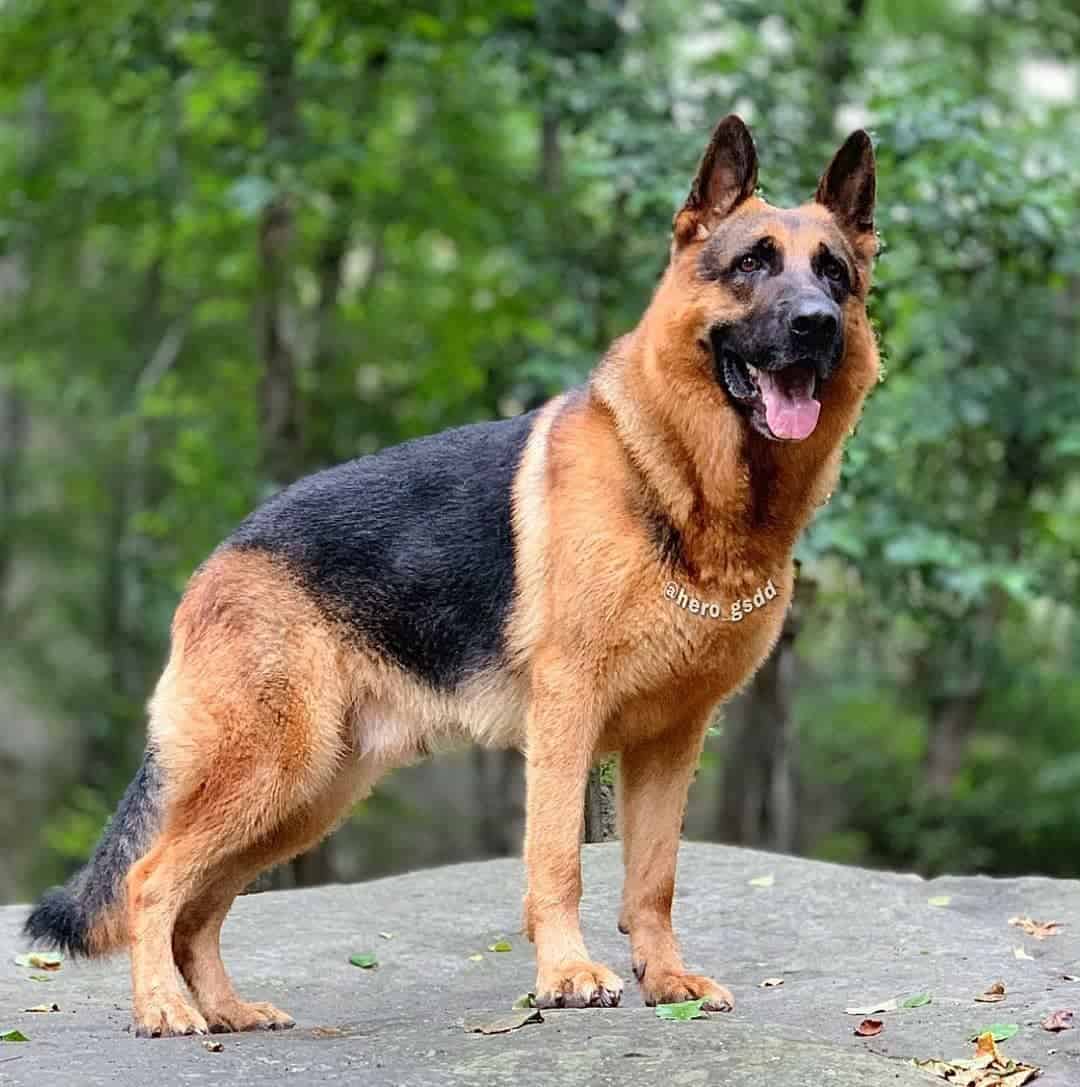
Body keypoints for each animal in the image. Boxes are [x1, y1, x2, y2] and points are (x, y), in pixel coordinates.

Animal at [25, 116, 877, 1034]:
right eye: (753, 262)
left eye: (834, 274)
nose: (815, 324)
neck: (676, 485)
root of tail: (220, 556)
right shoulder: (566, 718)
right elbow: (557, 860)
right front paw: (567, 974)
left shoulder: (669, 741)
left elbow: (653, 878)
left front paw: (667, 977)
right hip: (271, 769)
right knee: (152, 880)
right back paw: (165, 1008)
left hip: (302, 795)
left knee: (202, 903)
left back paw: (226, 1008)